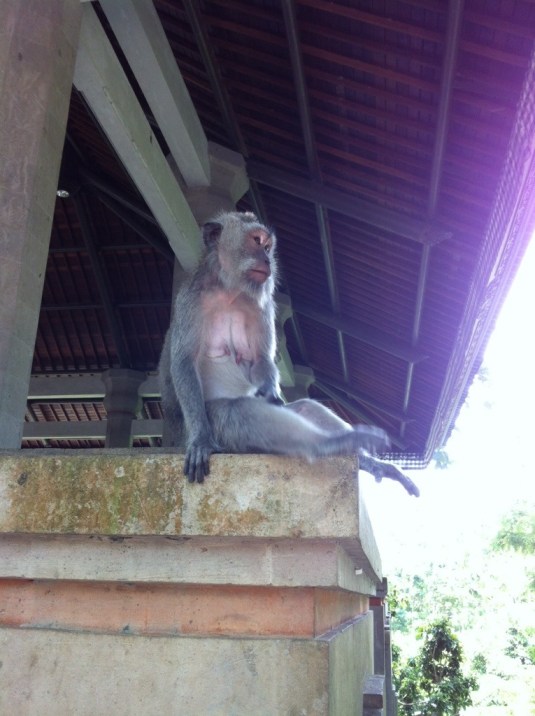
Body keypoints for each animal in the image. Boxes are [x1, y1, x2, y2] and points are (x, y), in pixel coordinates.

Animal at [159, 211, 419, 497]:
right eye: (256, 240)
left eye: (268, 247)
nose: (267, 260)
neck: (229, 291)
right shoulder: (191, 299)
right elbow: (184, 362)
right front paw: (201, 439)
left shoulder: (261, 306)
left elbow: (259, 360)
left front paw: (272, 392)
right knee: (235, 412)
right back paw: (331, 444)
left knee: (304, 407)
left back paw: (364, 458)